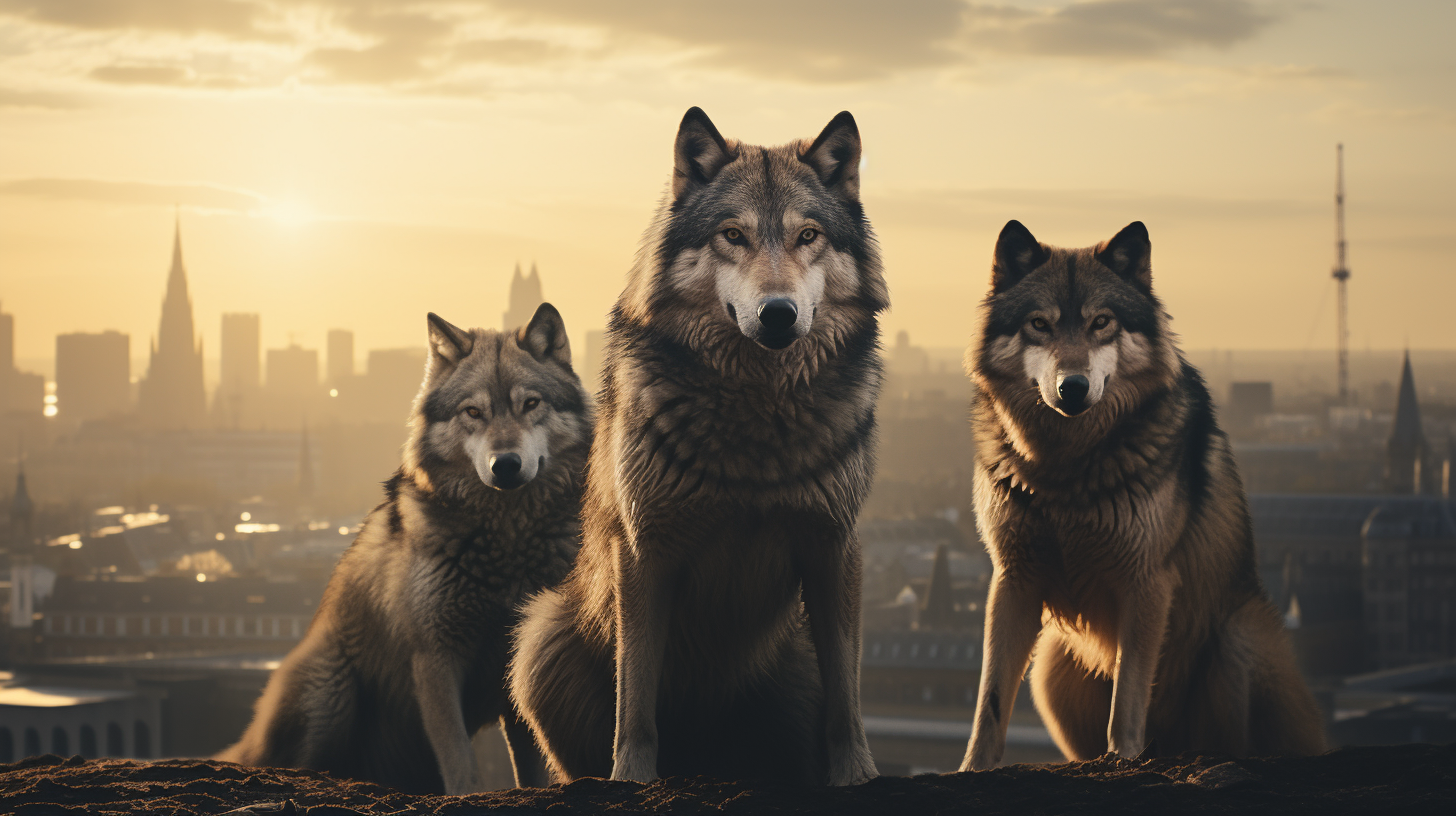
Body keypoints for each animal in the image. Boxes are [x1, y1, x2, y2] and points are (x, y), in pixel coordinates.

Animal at [218, 303, 594, 792]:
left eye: (530, 404)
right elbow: (461, 763)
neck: (505, 543)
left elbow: (531, 766)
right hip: (329, 690)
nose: (506, 465)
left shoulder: (516, 665)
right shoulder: (434, 657)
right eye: (473, 411)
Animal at [512, 107, 885, 786]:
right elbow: (635, 699)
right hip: (541, 634)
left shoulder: (833, 545)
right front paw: (631, 781)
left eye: (808, 236)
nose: (778, 313)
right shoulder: (646, 552)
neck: (758, 415)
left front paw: (857, 776)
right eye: (732, 235)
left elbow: (847, 695)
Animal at [960, 220, 1327, 769]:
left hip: (1236, 640)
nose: (1072, 388)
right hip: (1053, 665)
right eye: (1040, 324)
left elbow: (1129, 695)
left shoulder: (1146, 582)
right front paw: (972, 767)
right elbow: (990, 697)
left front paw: (1124, 759)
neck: (1065, 470)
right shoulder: (1014, 580)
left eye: (1102, 323)